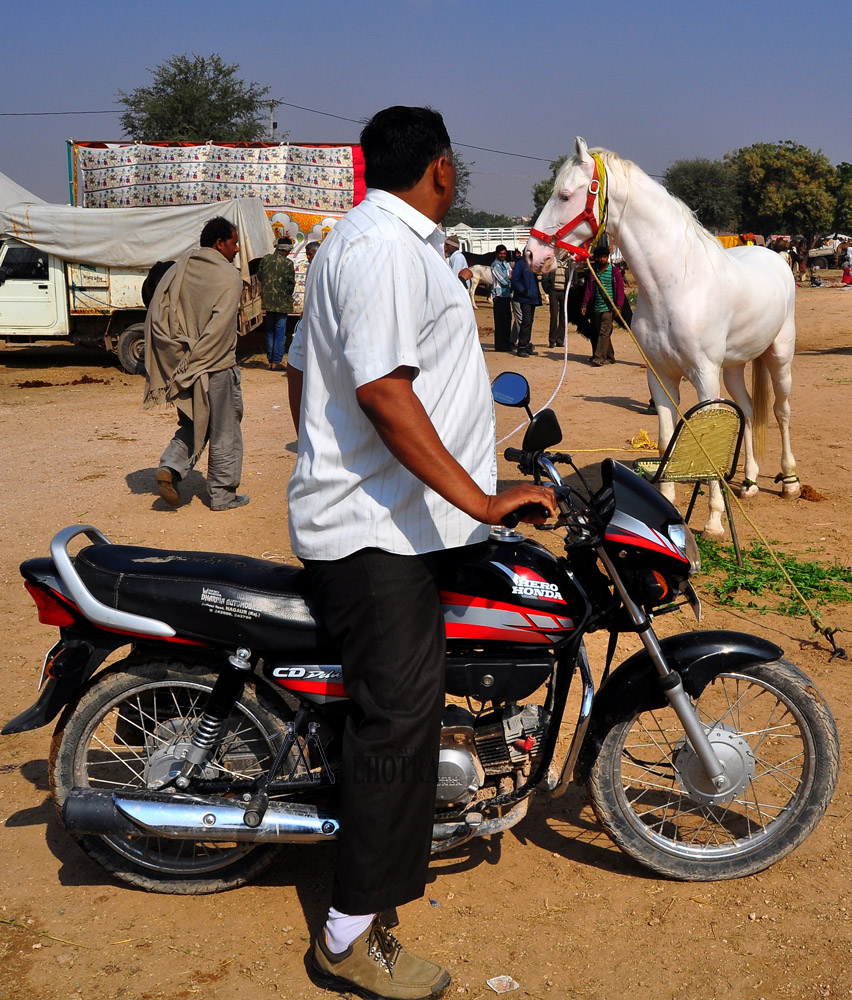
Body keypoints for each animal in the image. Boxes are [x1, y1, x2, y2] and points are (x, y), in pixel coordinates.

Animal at [524, 139, 800, 540]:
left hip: (779, 357)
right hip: (733, 367)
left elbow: (709, 438)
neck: (678, 284)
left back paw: (790, 481)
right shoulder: (660, 376)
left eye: (564, 195)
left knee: (781, 411)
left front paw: (714, 520)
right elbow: (668, 434)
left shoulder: (704, 375)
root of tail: (773, 254)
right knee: (748, 411)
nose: (533, 254)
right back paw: (748, 482)